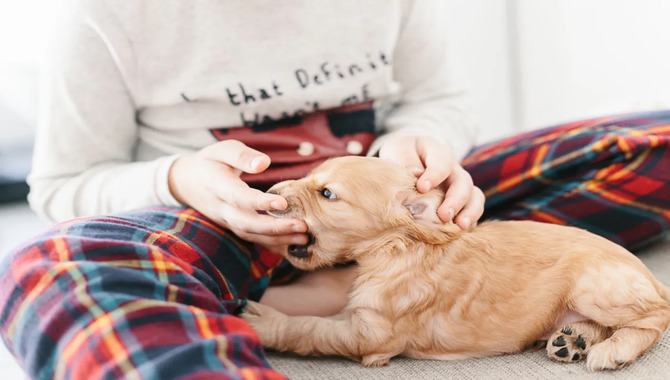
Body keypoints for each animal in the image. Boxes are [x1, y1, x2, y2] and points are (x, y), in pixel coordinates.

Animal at [244, 155, 670, 372]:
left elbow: (310, 328)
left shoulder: (372, 334)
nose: (270, 191)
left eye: (327, 193)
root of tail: (651, 277)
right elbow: (318, 319)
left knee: (655, 316)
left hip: (596, 286)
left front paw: (265, 323)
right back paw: (571, 339)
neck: (396, 249)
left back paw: (613, 350)